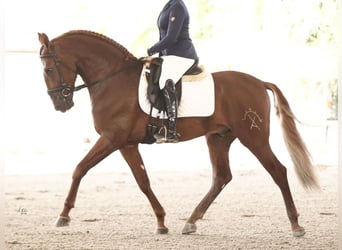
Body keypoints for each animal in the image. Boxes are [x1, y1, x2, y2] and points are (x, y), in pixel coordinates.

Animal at [38, 30, 318, 236]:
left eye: (48, 70)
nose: (60, 105)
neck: (112, 80)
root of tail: (259, 82)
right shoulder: (126, 143)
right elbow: (143, 181)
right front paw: (161, 222)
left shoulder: (112, 138)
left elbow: (80, 168)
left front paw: (63, 215)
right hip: (219, 138)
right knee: (221, 177)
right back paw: (191, 221)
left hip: (254, 137)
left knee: (278, 171)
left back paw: (296, 225)